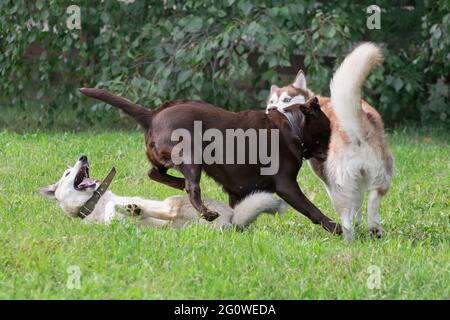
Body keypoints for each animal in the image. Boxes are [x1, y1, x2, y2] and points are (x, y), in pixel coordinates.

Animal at [39, 156, 284, 229]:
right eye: (67, 173)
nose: (83, 157)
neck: (93, 204)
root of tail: (233, 218)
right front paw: (117, 216)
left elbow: (112, 204)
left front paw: (119, 211)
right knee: (168, 219)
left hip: (170, 201)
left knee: (166, 213)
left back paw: (135, 210)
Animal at [80, 89, 342, 234]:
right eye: (328, 129)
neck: (293, 126)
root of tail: (152, 115)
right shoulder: (287, 186)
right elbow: (312, 210)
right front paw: (336, 228)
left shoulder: (238, 191)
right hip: (190, 154)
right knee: (191, 188)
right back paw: (206, 212)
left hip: (167, 157)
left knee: (155, 173)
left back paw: (178, 186)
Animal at [268, 43, 394, 242]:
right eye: (272, 101)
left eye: (287, 99)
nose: (270, 108)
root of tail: (355, 128)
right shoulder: (358, 179)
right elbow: (358, 203)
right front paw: (359, 223)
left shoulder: (325, 176)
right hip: (381, 171)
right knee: (374, 196)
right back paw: (373, 228)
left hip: (338, 179)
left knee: (345, 212)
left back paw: (348, 238)